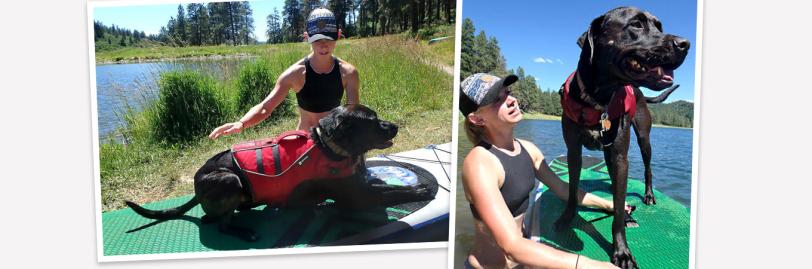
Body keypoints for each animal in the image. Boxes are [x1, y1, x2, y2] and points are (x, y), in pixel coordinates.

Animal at [124, 104, 434, 241]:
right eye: (371, 121)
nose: (395, 126)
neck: (331, 147)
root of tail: (197, 184)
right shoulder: (357, 198)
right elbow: (391, 192)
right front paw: (420, 189)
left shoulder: (361, 187)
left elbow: (386, 187)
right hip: (230, 179)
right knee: (220, 224)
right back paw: (243, 231)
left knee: (212, 218)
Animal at [560, 6, 692, 268]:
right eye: (636, 24)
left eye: (659, 26)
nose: (685, 44)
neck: (599, 99)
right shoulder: (573, 151)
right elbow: (572, 189)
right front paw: (567, 218)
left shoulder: (620, 156)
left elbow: (620, 209)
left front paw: (621, 251)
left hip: (643, 140)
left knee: (646, 170)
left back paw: (647, 197)